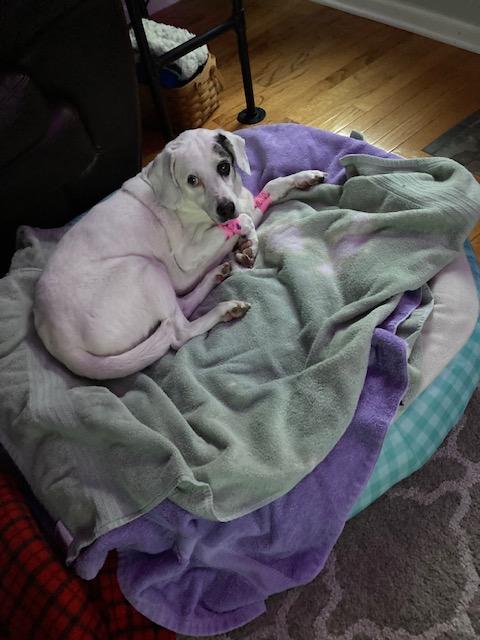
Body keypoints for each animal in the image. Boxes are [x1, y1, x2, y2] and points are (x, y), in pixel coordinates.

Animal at [33, 128, 325, 380]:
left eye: (224, 167)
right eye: (192, 180)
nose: (225, 208)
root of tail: (59, 343)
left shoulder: (244, 202)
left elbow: (269, 188)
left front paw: (304, 177)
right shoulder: (187, 257)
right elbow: (242, 220)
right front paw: (248, 241)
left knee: (182, 307)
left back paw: (218, 274)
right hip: (145, 269)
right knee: (178, 332)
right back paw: (224, 308)